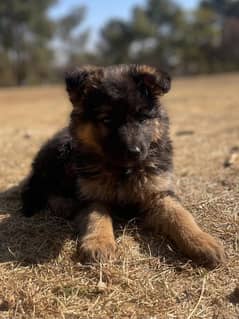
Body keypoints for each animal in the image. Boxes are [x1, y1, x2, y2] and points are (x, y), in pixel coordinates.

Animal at [21, 64, 224, 268]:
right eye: (107, 120)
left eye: (142, 118)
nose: (134, 152)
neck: (123, 170)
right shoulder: (92, 196)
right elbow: (97, 217)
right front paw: (98, 243)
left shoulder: (159, 192)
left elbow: (180, 215)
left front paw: (201, 241)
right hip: (63, 154)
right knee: (45, 187)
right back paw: (64, 204)